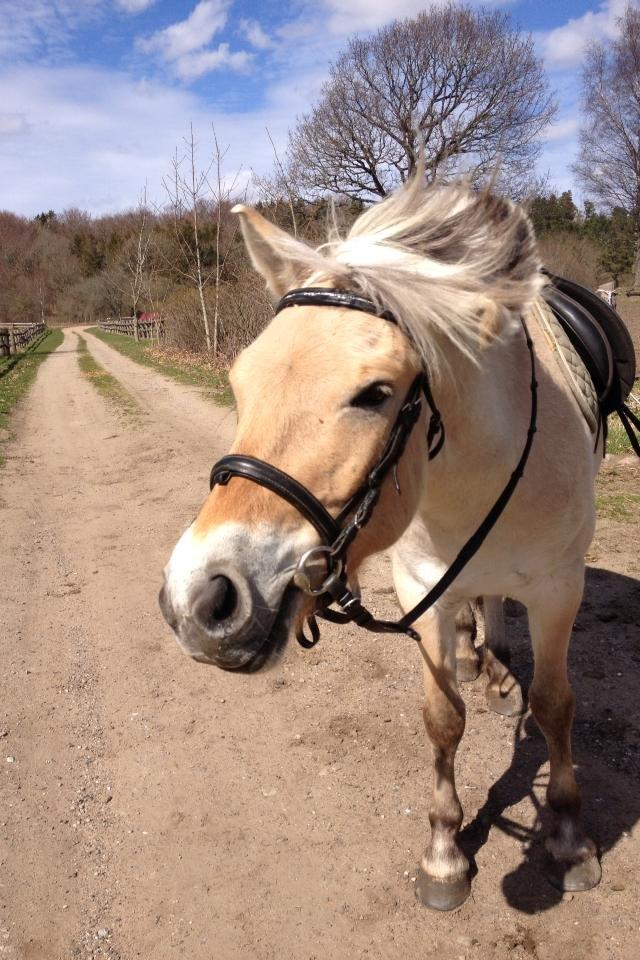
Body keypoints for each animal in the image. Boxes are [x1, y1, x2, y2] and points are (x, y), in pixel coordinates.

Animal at [159, 176, 604, 912]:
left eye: (375, 393)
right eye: (240, 381)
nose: (200, 598)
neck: (481, 470)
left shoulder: (559, 589)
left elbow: (556, 705)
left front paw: (569, 836)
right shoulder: (423, 586)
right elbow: (443, 717)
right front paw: (445, 852)